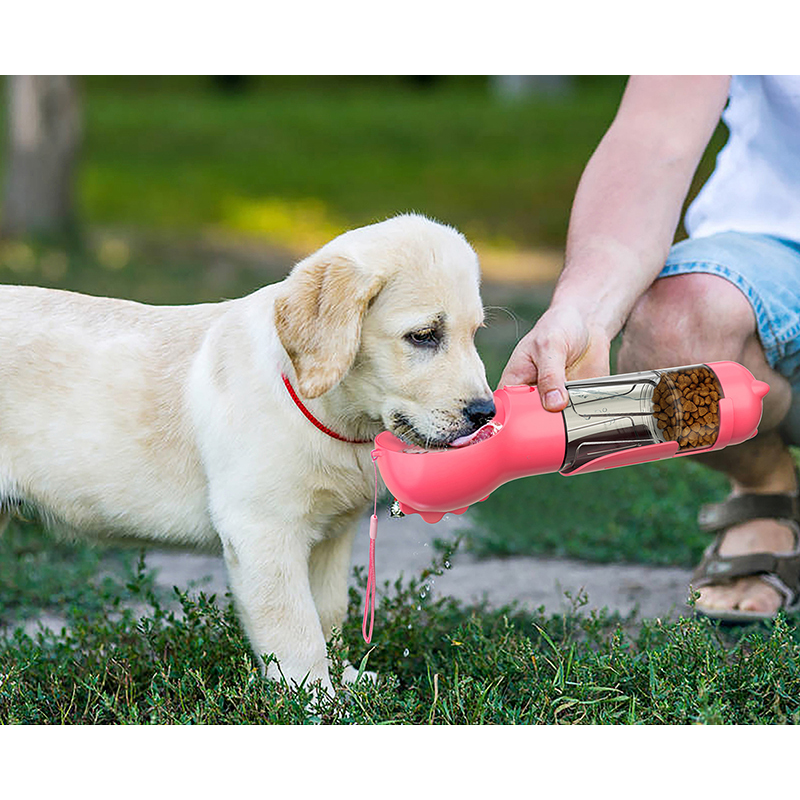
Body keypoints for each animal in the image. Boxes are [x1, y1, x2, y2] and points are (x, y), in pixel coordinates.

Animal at [0, 214, 494, 692]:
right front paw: (316, 700)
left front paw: (347, 681)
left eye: (475, 334)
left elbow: (328, 613)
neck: (329, 413)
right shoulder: (262, 530)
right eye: (424, 336)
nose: (486, 413)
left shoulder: (333, 535)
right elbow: (296, 629)